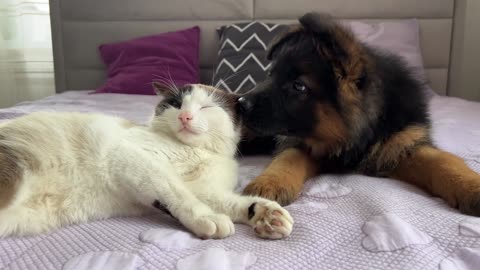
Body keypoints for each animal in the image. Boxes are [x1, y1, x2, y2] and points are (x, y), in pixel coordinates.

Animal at [0, 84, 292, 238]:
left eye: (206, 107)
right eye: (176, 104)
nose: (185, 116)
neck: (198, 153)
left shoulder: (203, 188)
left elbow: (228, 201)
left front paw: (266, 215)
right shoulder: (134, 158)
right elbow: (177, 192)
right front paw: (207, 218)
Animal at [236, 12, 480, 216]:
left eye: (299, 86)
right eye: (270, 75)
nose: (240, 104)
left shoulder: (402, 144)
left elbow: (444, 161)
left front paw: (472, 186)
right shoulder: (301, 141)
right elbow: (288, 158)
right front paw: (270, 182)